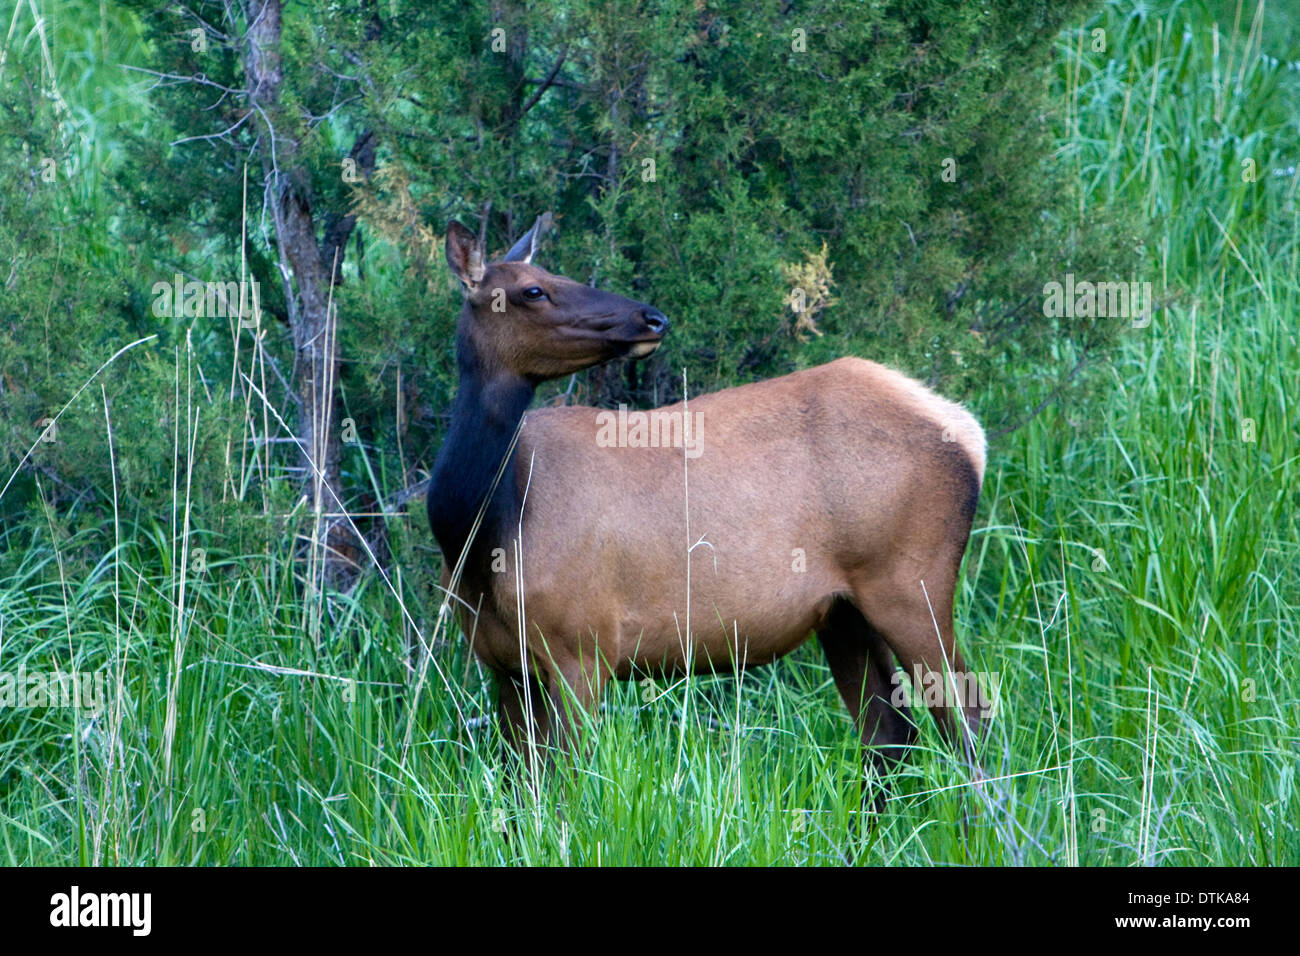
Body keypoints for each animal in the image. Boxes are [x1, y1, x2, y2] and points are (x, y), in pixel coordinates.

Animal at [426, 213, 982, 796]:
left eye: (554, 274)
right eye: (533, 289)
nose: (652, 317)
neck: (482, 531)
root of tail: (969, 432)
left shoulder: (584, 643)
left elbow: (569, 785)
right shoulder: (503, 665)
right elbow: (522, 788)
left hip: (912, 582)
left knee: (967, 718)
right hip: (843, 611)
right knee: (891, 733)